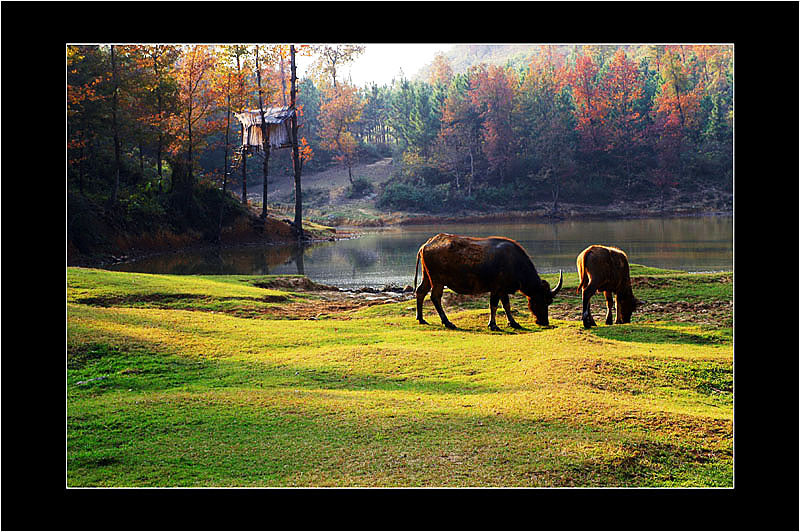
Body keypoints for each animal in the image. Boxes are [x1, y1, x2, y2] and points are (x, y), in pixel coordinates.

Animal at [412, 233, 564, 328]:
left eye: (549, 301)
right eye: (542, 299)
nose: (544, 322)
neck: (514, 262)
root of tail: (427, 244)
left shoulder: (503, 290)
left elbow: (506, 305)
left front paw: (513, 323)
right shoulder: (496, 288)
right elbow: (494, 305)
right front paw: (493, 325)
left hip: (427, 276)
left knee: (421, 292)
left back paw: (421, 319)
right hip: (438, 280)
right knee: (435, 297)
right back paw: (447, 322)